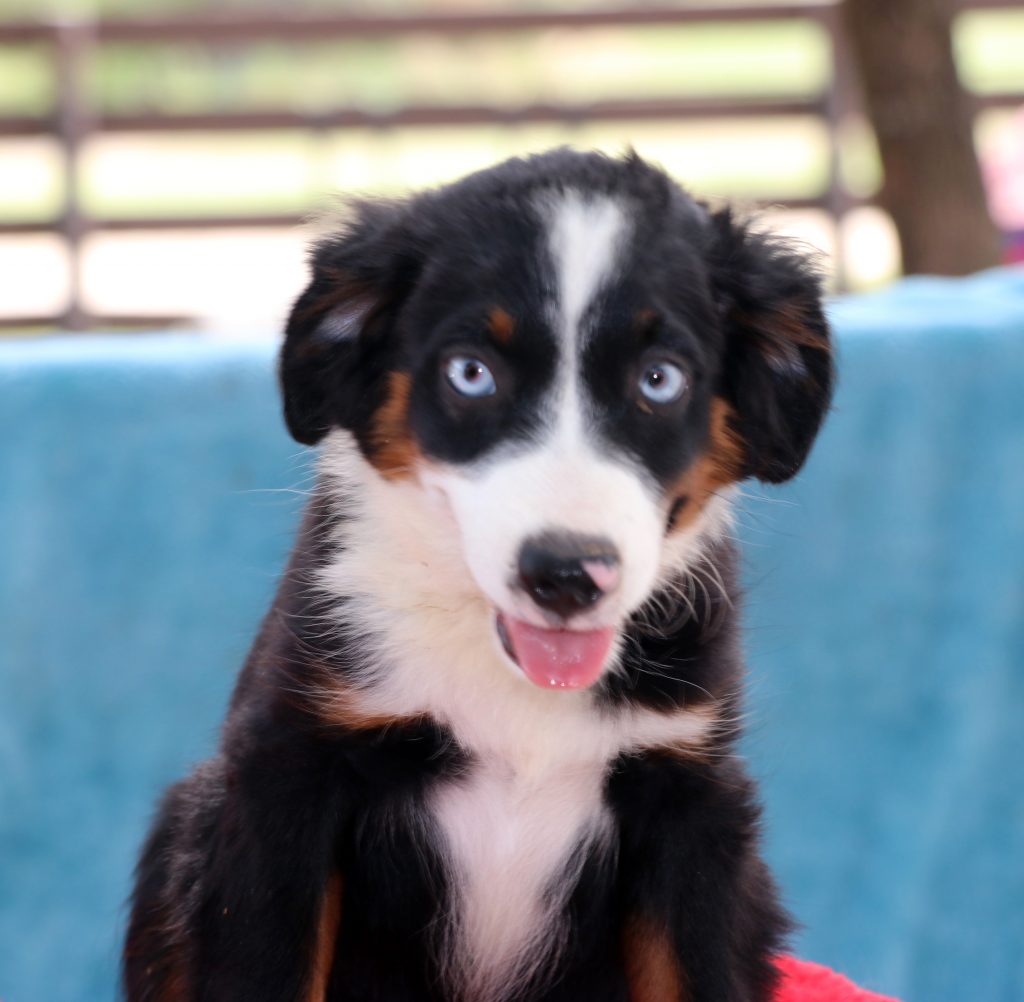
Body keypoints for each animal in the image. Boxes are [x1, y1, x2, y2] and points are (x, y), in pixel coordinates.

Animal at [125, 148, 831, 1002]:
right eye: (472, 373)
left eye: (659, 379)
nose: (566, 575)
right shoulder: (287, 776)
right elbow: (269, 971)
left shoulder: (690, 798)